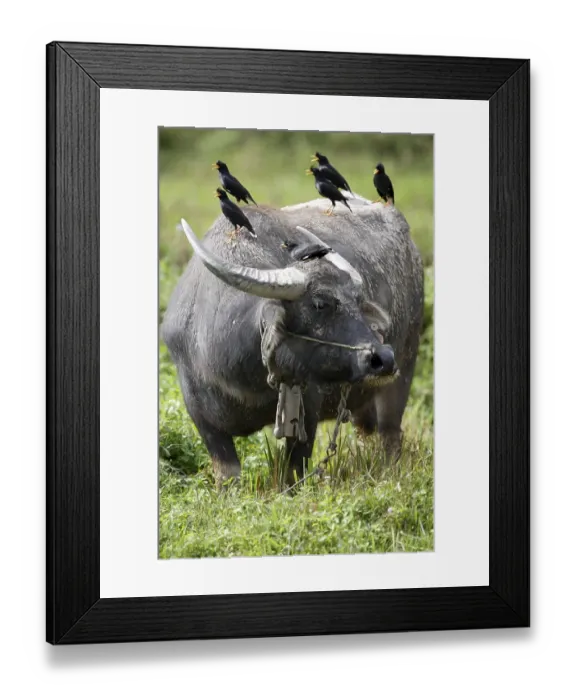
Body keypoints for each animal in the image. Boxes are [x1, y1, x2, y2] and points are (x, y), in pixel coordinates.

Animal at [161, 194, 424, 487]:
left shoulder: (307, 404)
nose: (384, 357)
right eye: (320, 304)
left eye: (358, 301)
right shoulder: (201, 416)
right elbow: (227, 475)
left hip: (403, 372)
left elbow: (293, 472)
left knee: (390, 435)